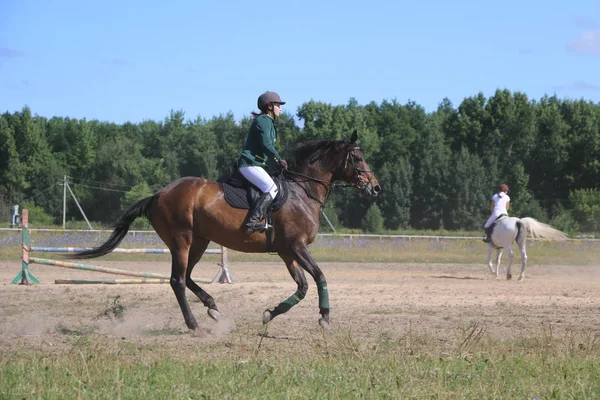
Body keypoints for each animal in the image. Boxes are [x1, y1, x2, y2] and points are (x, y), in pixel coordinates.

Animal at [70, 130, 380, 330]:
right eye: (358, 158)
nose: (375, 187)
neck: (302, 191)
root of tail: (158, 194)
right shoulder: (297, 245)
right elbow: (319, 277)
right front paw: (325, 317)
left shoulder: (286, 251)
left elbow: (302, 286)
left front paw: (270, 314)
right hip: (182, 240)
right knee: (177, 280)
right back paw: (194, 324)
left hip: (199, 241)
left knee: (188, 277)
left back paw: (212, 308)